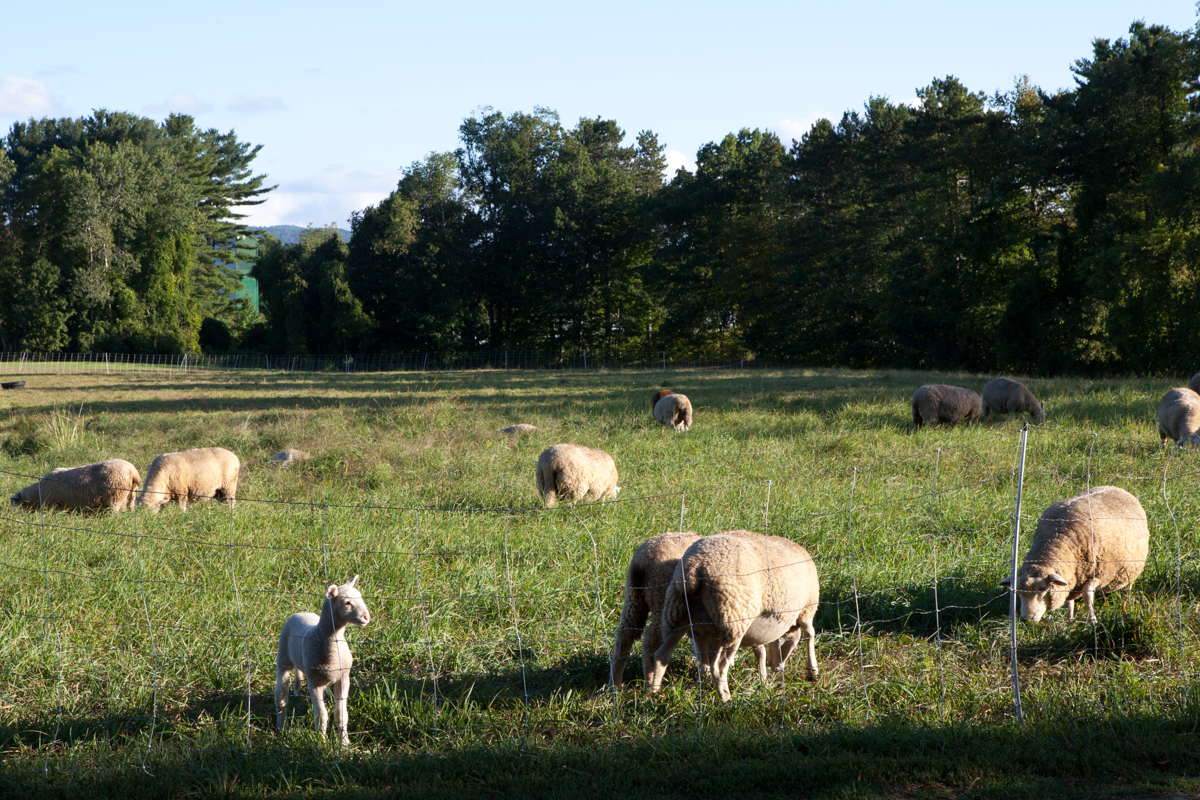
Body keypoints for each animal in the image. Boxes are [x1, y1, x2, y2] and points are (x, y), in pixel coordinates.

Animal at [9, 460, 141, 515]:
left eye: (15, 504)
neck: (37, 494)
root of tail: (133, 471)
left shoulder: (54, 505)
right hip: (131, 495)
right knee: (130, 509)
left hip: (114, 496)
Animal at [274, 575, 372, 743]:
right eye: (347, 603)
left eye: (360, 598)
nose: (366, 617)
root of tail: (300, 612)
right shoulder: (314, 682)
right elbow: (321, 715)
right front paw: (321, 741)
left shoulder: (344, 677)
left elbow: (341, 714)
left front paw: (344, 742)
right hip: (283, 658)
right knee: (281, 694)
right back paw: (281, 727)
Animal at [648, 532, 825, 700]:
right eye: (788, 643)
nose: (777, 668)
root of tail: (694, 567)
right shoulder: (806, 609)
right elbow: (809, 634)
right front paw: (812, 671)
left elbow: (760, 650)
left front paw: (763, 680)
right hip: (733, 621)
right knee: (718, 668)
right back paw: (727, 701)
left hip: (678, 614)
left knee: (661, 655)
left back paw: (653, 696)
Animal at [998, 484, 1147, 623]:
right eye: (1017, 592)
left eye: (1042, 589)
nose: (1026, 619)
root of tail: (1118, 488)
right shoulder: (1071, 577)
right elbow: (1068, 602)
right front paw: (1069, 619)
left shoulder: (1099, 573)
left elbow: (1087, 593)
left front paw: (1092, 619)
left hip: (1131, 569)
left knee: (1129, 585)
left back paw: (1127, 600)